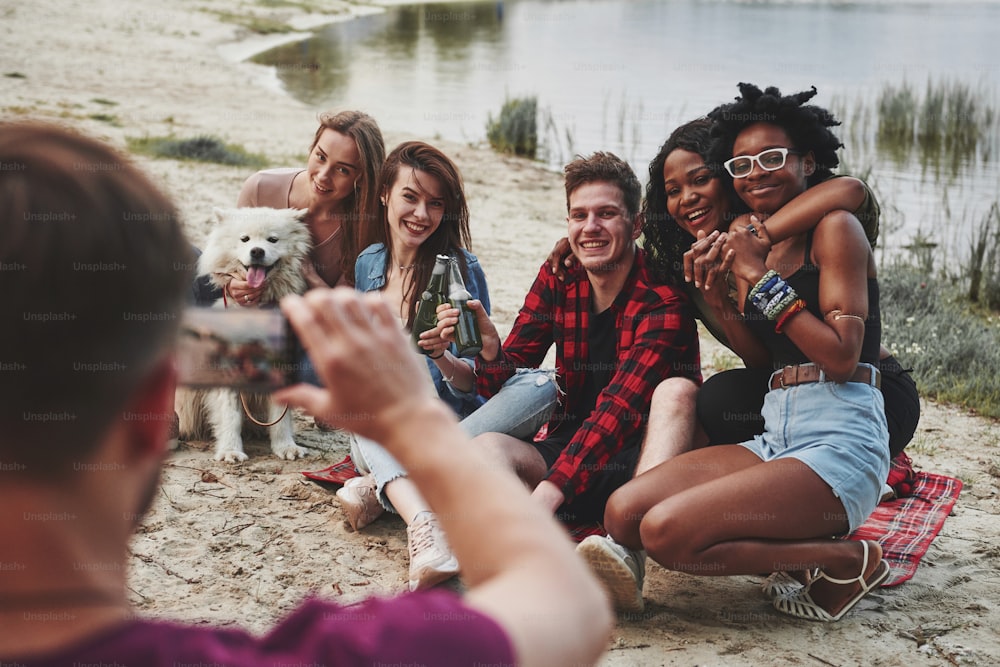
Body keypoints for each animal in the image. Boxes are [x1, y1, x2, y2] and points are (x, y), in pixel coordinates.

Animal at [178, 206, 312, 462]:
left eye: (272, 239)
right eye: (245, 239)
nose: (257, 251)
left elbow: (280, 417)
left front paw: (285, 447)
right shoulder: (228, 367)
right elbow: (230, 415)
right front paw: (230, 451)